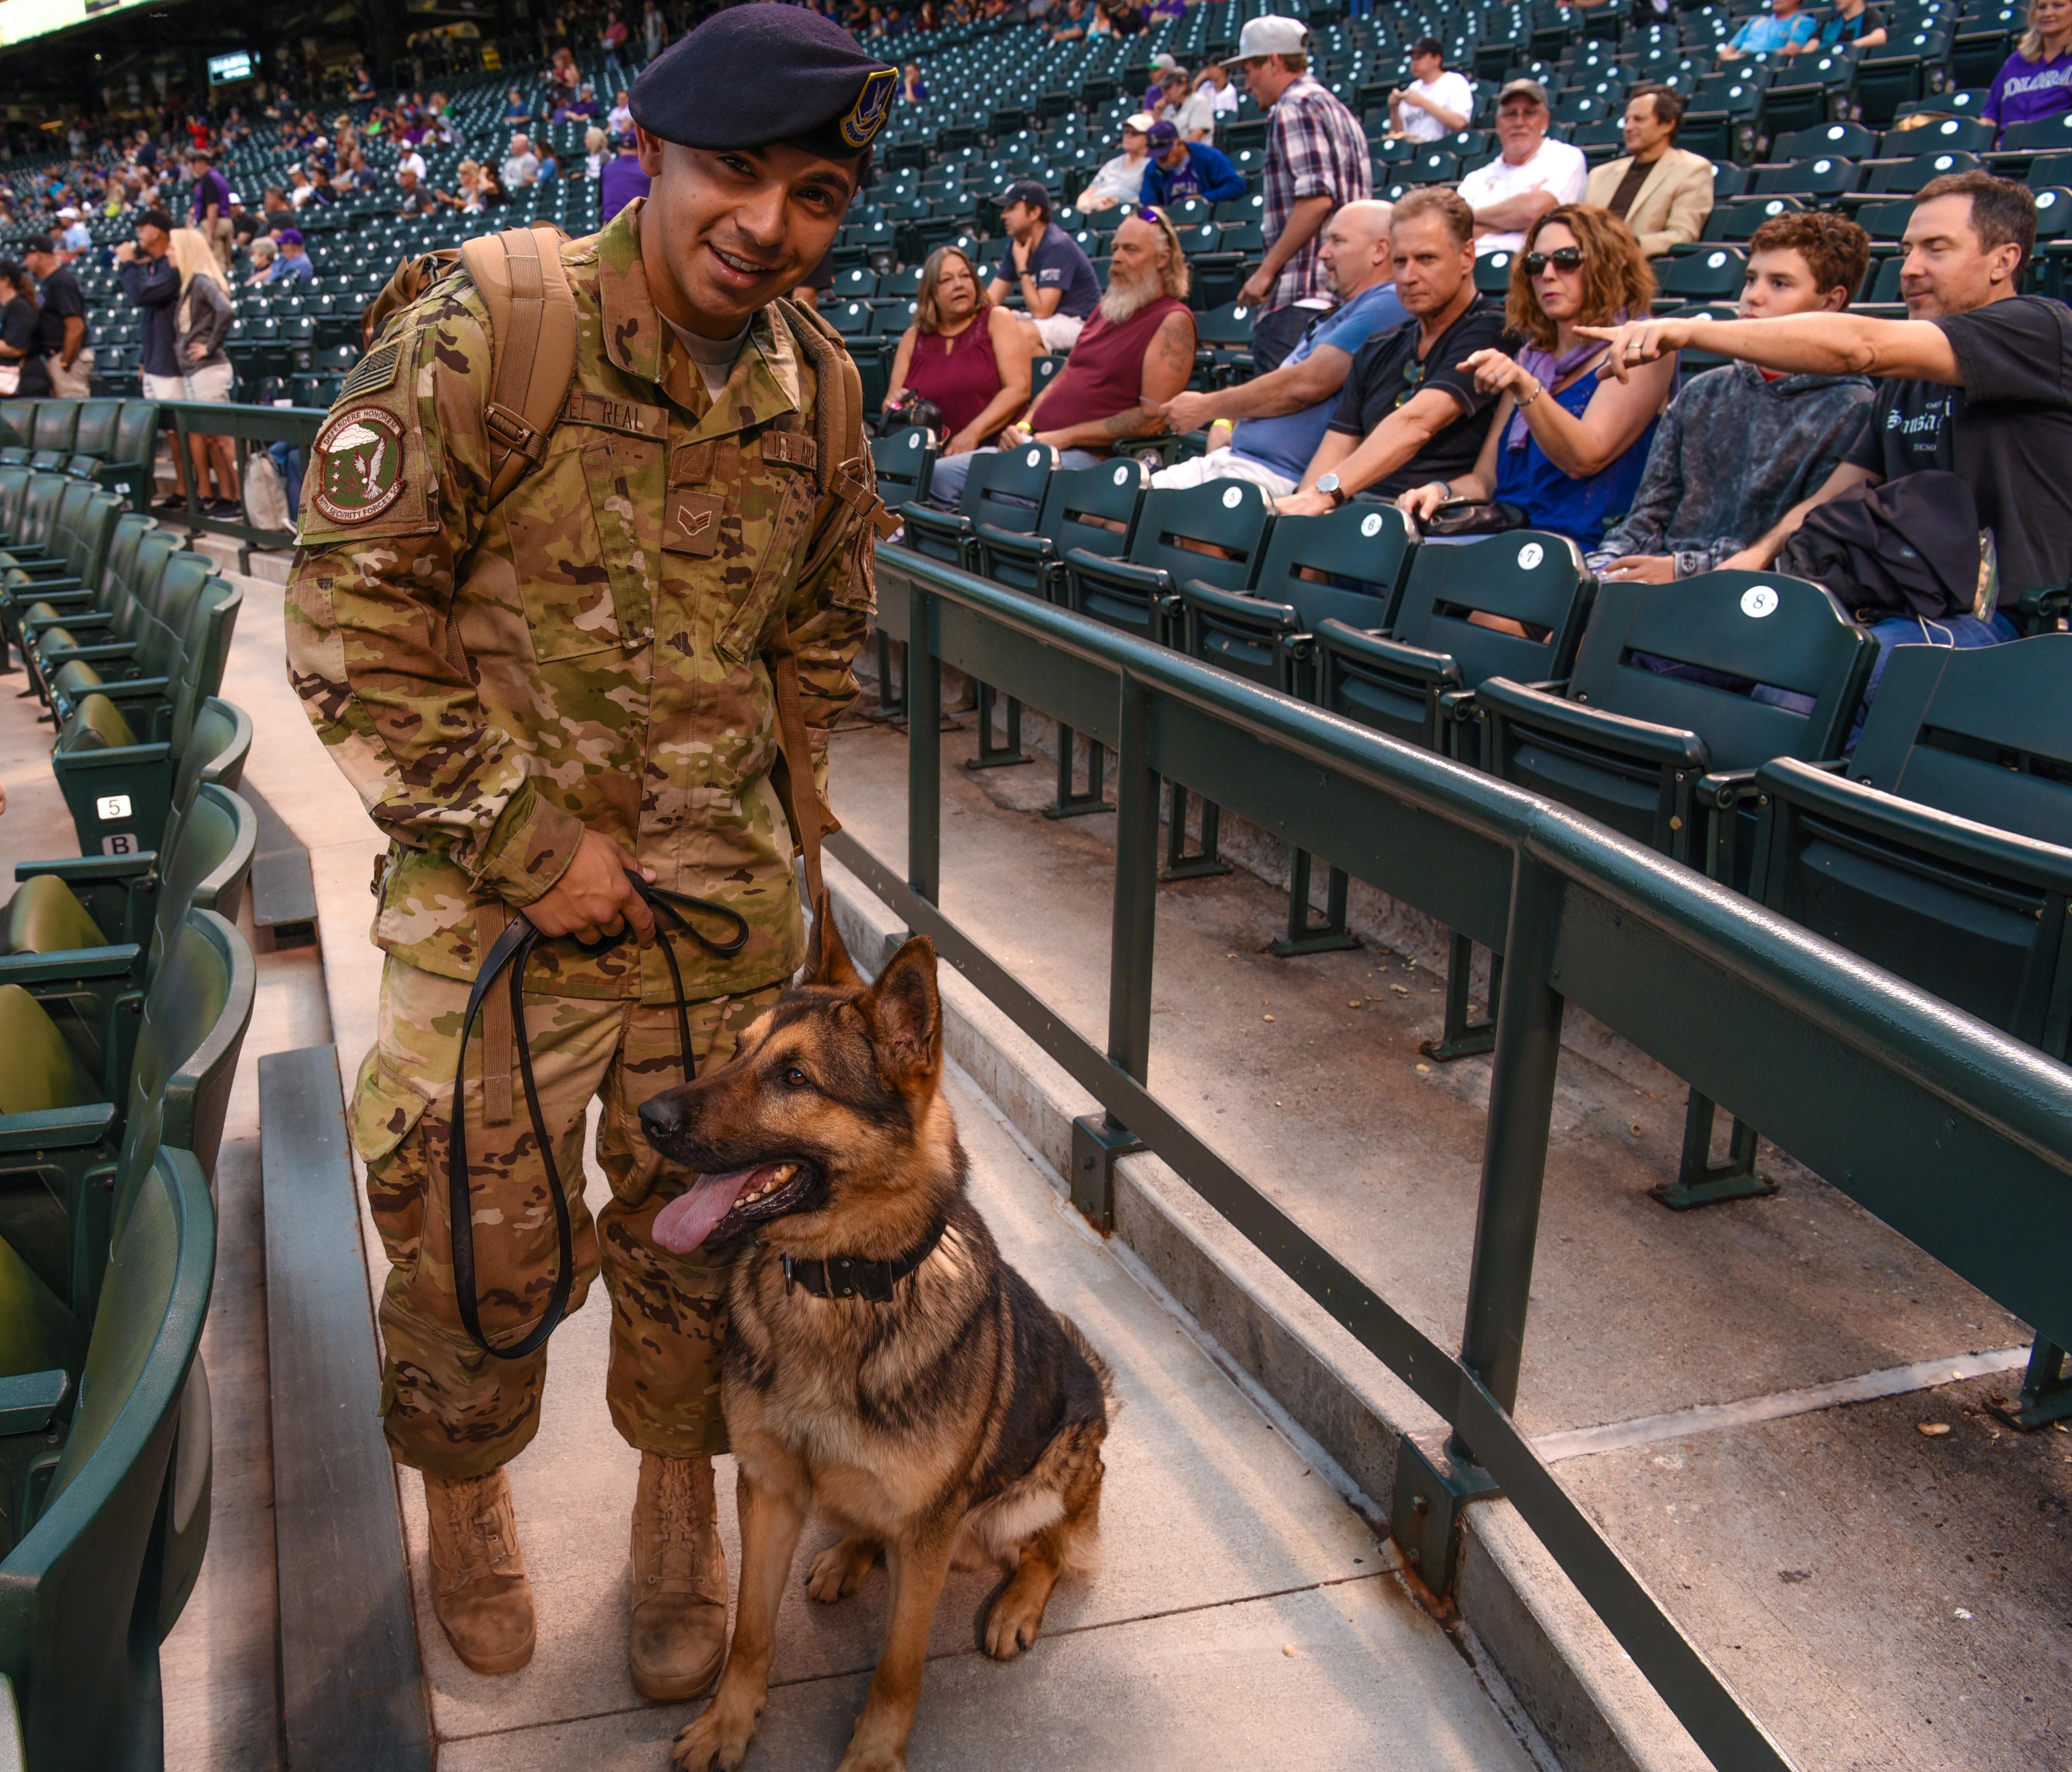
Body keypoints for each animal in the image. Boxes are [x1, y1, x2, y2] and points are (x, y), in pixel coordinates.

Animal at [634, 899, 1111, 1772]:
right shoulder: (769, 1489)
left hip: (1051, 1475)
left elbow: (899, 1662)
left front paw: (872, 1755)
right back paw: (850, 1554)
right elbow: (751, 1633)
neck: (841, 1286)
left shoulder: (926, 1534)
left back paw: (1016, 1604)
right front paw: (728, 1724)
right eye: (739, 1051)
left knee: (1052, 1546)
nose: (650, 1117)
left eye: (795, 1079)